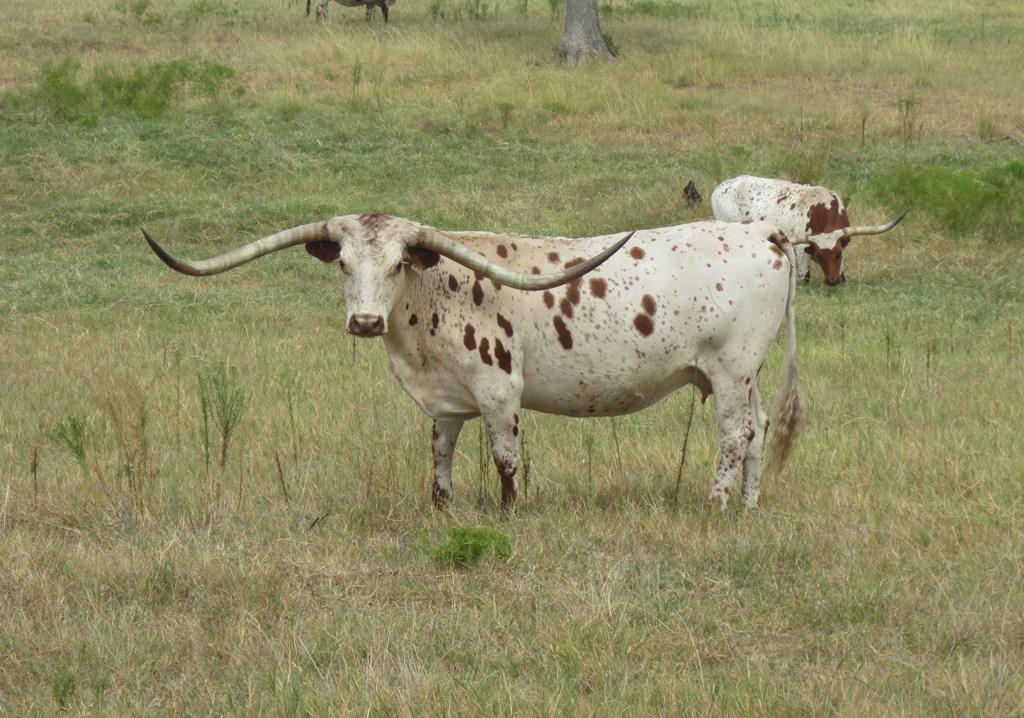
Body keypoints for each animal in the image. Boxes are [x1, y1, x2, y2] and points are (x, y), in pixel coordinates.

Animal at [142, 213, 803, 510]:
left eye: (397, 264)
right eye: (344, 264)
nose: (365, 322)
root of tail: (763, 234)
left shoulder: (498, 393)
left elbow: (506, 460)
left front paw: (509, 514)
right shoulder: (445, 404)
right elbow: (440, 456)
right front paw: (442, 508)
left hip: (730, 369)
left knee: (734, 434)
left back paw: (714, 507)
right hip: (745, 375)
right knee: (758, 429)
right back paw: (748, 507)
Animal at [711, 175, 904, 286]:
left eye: (838, 253)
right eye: (819, 255)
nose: (832, 281)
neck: (823, 208)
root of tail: (721, 186)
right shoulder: (802, 250)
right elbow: (805, 278)